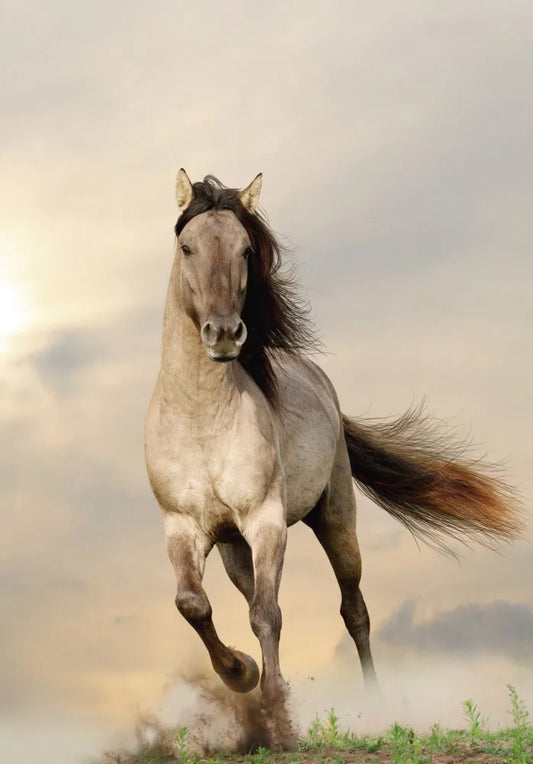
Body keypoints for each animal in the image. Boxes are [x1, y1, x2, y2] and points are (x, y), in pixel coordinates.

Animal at [144, 170, 520, 724]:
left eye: (245, 250)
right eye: (186, 247)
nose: (225, 334)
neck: (200, 420)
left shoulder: (266, 521)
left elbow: (268, 614)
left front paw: (276, 709)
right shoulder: (183, 527)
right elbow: (193, 604)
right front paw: (241, 672)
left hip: (335, 517)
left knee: (353, 609)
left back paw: (375, 703)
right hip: (235, 546)